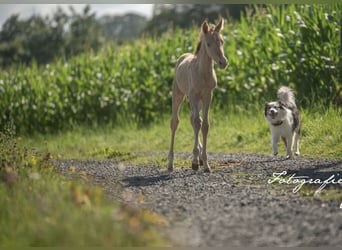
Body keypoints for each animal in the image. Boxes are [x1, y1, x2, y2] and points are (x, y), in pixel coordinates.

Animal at [168, 18, 227, 173]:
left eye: (222, 41)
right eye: (208, 44)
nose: (223, 62)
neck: (202, 73)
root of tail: (182, 56)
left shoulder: (207, 96)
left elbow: (204, 124)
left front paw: (205, 163)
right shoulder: (193, 96)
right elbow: (197, 122)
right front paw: (194, 162)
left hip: (198, 102)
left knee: (193, 119)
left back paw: (199, 158)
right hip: (179, 94)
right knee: (175, 122)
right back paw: (170, 163)